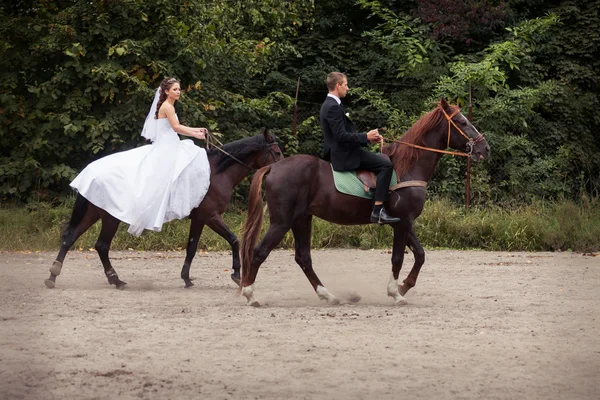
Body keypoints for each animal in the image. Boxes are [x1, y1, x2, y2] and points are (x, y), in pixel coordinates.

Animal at [44, 130, 284, 290]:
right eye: (277, 152)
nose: (280, 170)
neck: (217, 173)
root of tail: (90, 171)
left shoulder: (199, 218)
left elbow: (192, 247)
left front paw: (186, 278)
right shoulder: (211, 216)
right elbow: (234, 239)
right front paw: (235, 273)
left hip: (95, 213)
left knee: (71, 238)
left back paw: (55, 277)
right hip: (110, 217)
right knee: (101, 245)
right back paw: (115, 280)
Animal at [241, 100, 490, 306]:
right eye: (462, 122)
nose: (484, 148)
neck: (406, 167)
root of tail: (273, 167)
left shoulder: (403, 222)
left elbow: (420, 255)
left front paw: (404, 286)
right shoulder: (403, 222)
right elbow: (398, 257)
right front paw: (395, 293)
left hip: (302, 219)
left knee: (303, 258)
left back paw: (328, 296)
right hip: (282, 222)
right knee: (260, 252)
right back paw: (250, 295)